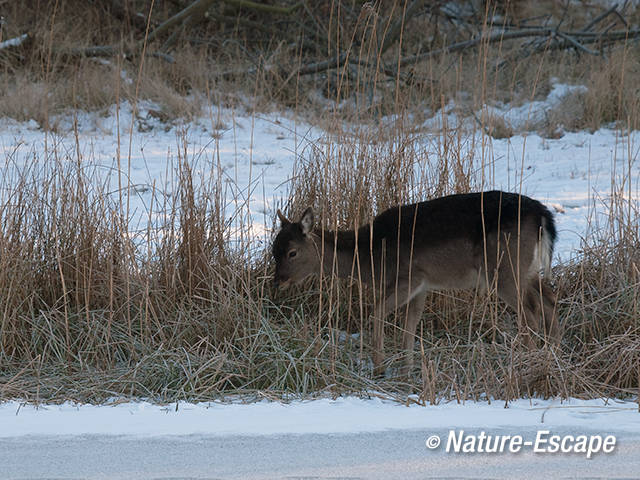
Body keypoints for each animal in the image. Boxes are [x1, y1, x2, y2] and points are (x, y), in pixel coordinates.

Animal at [274, 189, 560, 376]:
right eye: (274, 249)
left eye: (292, 252)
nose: (278, 281)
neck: (371, 258)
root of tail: (542, 215)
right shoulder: (424, 286)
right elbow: (409, 327)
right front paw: (407, 371)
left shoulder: (410, 277)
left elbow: (377, 313)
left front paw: (380, 369)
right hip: (527, 271)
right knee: (549, 301)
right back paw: (554, 358)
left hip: (504, 268)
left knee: (529, 313)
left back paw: (528, 363)